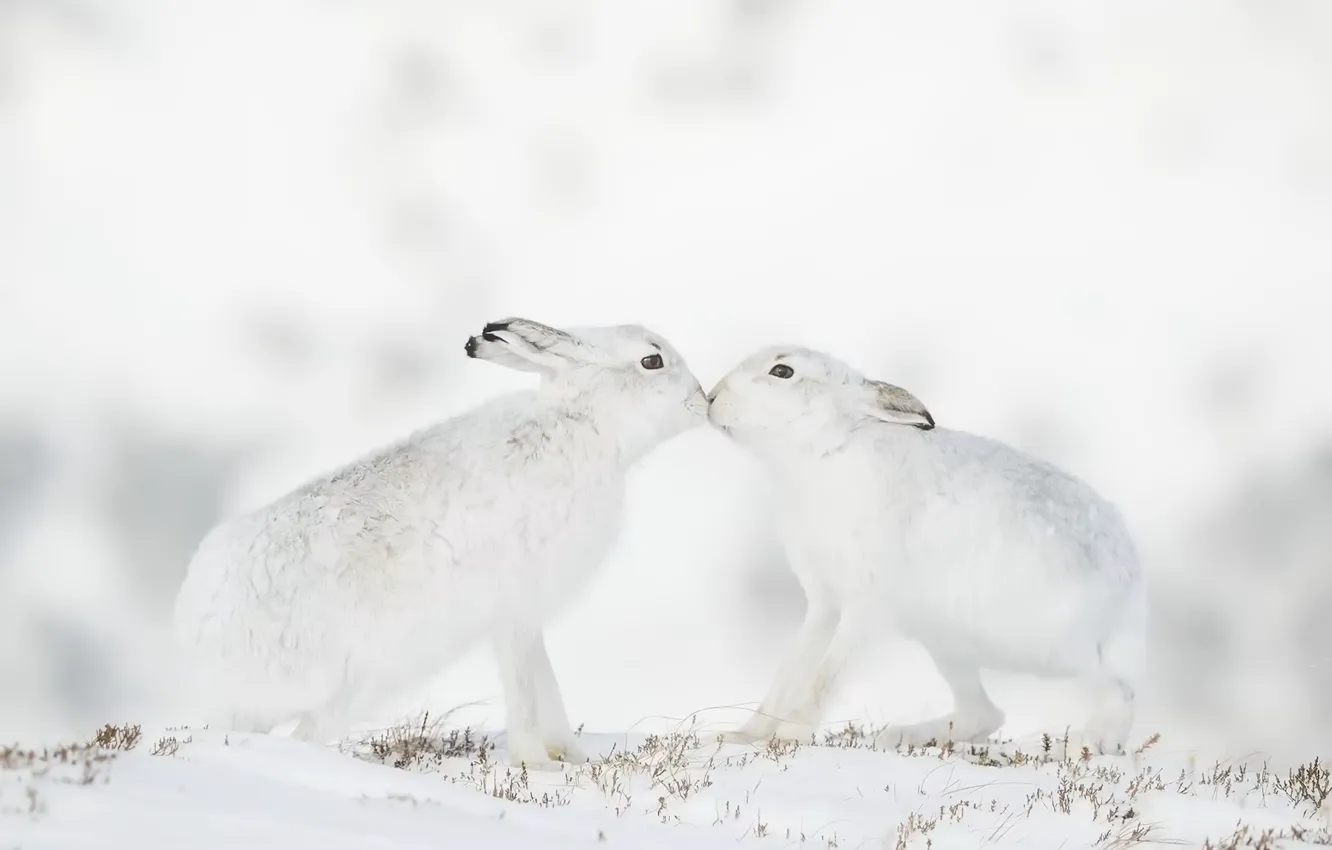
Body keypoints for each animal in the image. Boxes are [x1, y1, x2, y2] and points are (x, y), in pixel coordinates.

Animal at [171, 317, 709, 768]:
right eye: (652, 361)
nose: (701, 402)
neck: (584, 424)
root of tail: (196, 631)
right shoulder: (514, 607)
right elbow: (526, 690)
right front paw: (537, 765)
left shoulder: (523, 617)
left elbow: (546, 681)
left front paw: (571, 758)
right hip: (352, 684)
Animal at [706, 345, 1147, 755]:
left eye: (782, 371)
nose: (711, 397)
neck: (829, 448)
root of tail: (1130, 573)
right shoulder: (824, 605)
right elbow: (788, 672)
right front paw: (742, 736)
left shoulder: (866, 608)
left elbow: (822, 679)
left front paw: (788, 738)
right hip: (949, 645)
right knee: (982, 713)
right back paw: (896, 737)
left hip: (1051, 650)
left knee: (1121, 692)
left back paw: (1078, 746)